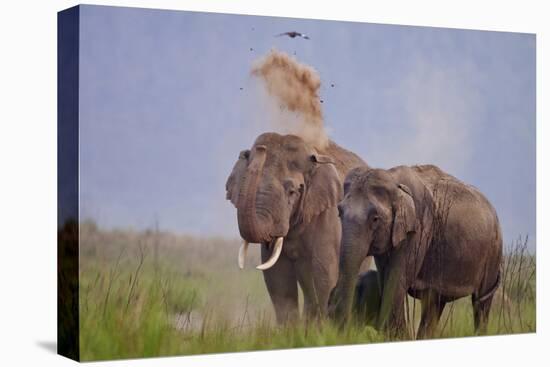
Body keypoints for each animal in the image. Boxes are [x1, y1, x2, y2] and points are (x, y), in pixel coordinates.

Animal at [330, 165, 506, 340]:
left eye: (375, 218)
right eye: (339, 212)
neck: (393, 179)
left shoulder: (418, 228)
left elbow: (396, 280)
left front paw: (397, 336)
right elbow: (385, 278)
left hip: (493, 251)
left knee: (480, 303)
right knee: (435, 303)